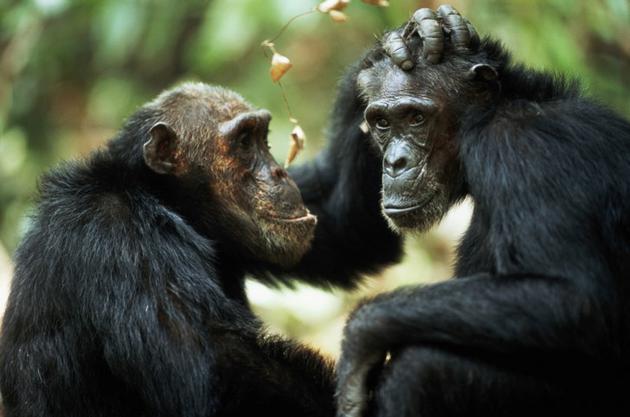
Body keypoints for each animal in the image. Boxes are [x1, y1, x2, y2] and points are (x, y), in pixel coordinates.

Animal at [0, 82, 404, 417]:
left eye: (263, 137)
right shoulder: (119, 236)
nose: (280, 173)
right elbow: (212, 372)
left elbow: (345, 223)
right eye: (244, 142)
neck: (166, 201)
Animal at [338, 5, 630, 416]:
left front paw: (361, 337)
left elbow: (573, 298)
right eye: (382, 122)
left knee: (420, 369)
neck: (486, 119)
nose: (395, 162)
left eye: (415, 118)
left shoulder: (521, 150)